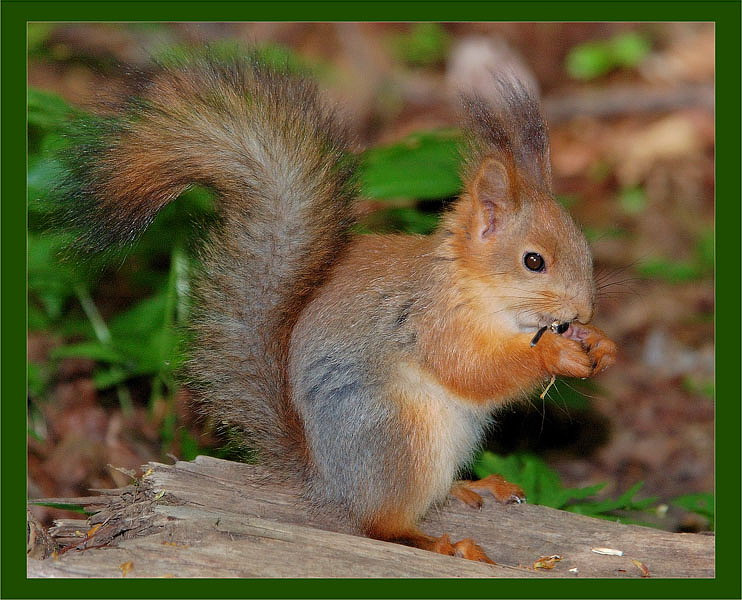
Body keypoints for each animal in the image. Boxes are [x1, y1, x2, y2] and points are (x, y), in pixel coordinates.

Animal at [52, 53, 617, 564]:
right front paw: (554, 356)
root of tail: (326, 482)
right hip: (399, 435)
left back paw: (470, 488)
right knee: (378, 524)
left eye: (584, 247)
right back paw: (442, 543)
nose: (583, 311)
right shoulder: (430, 321)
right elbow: (472, 369)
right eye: (533, 261)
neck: (475, 288)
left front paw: (599, 344)